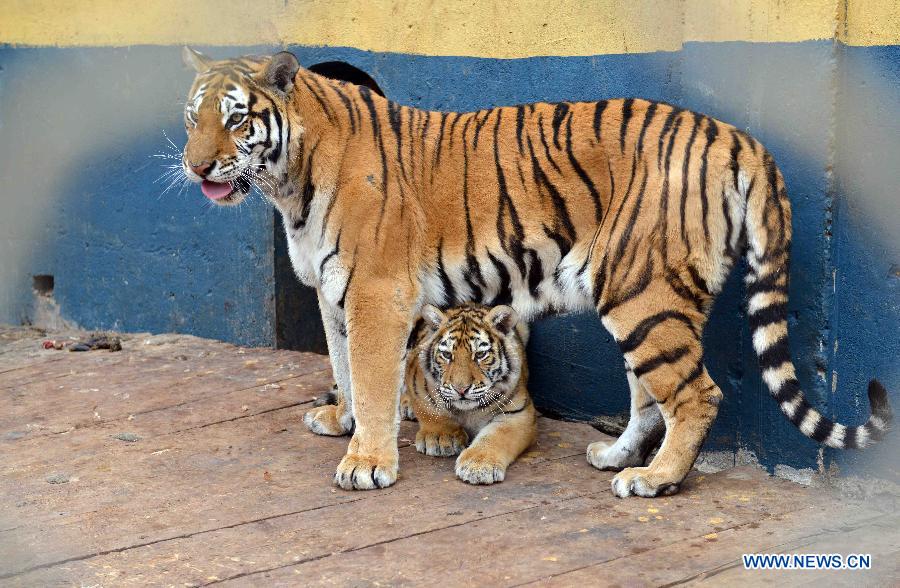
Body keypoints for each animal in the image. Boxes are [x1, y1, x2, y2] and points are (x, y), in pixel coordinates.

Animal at [179, 48, 888, 496]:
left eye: (236, 117)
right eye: (193, 117)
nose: (195, 166)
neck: (287, 185)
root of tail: (738, 137)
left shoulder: (376, 293)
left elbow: (374, 377)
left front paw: (367, 463)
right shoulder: (333, 293)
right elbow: (342, 364)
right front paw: (343, 422)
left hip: (644, 294)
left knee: (695, 394)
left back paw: (654, 480)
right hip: (641, 298)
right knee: (648, 394)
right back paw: (615, 457)